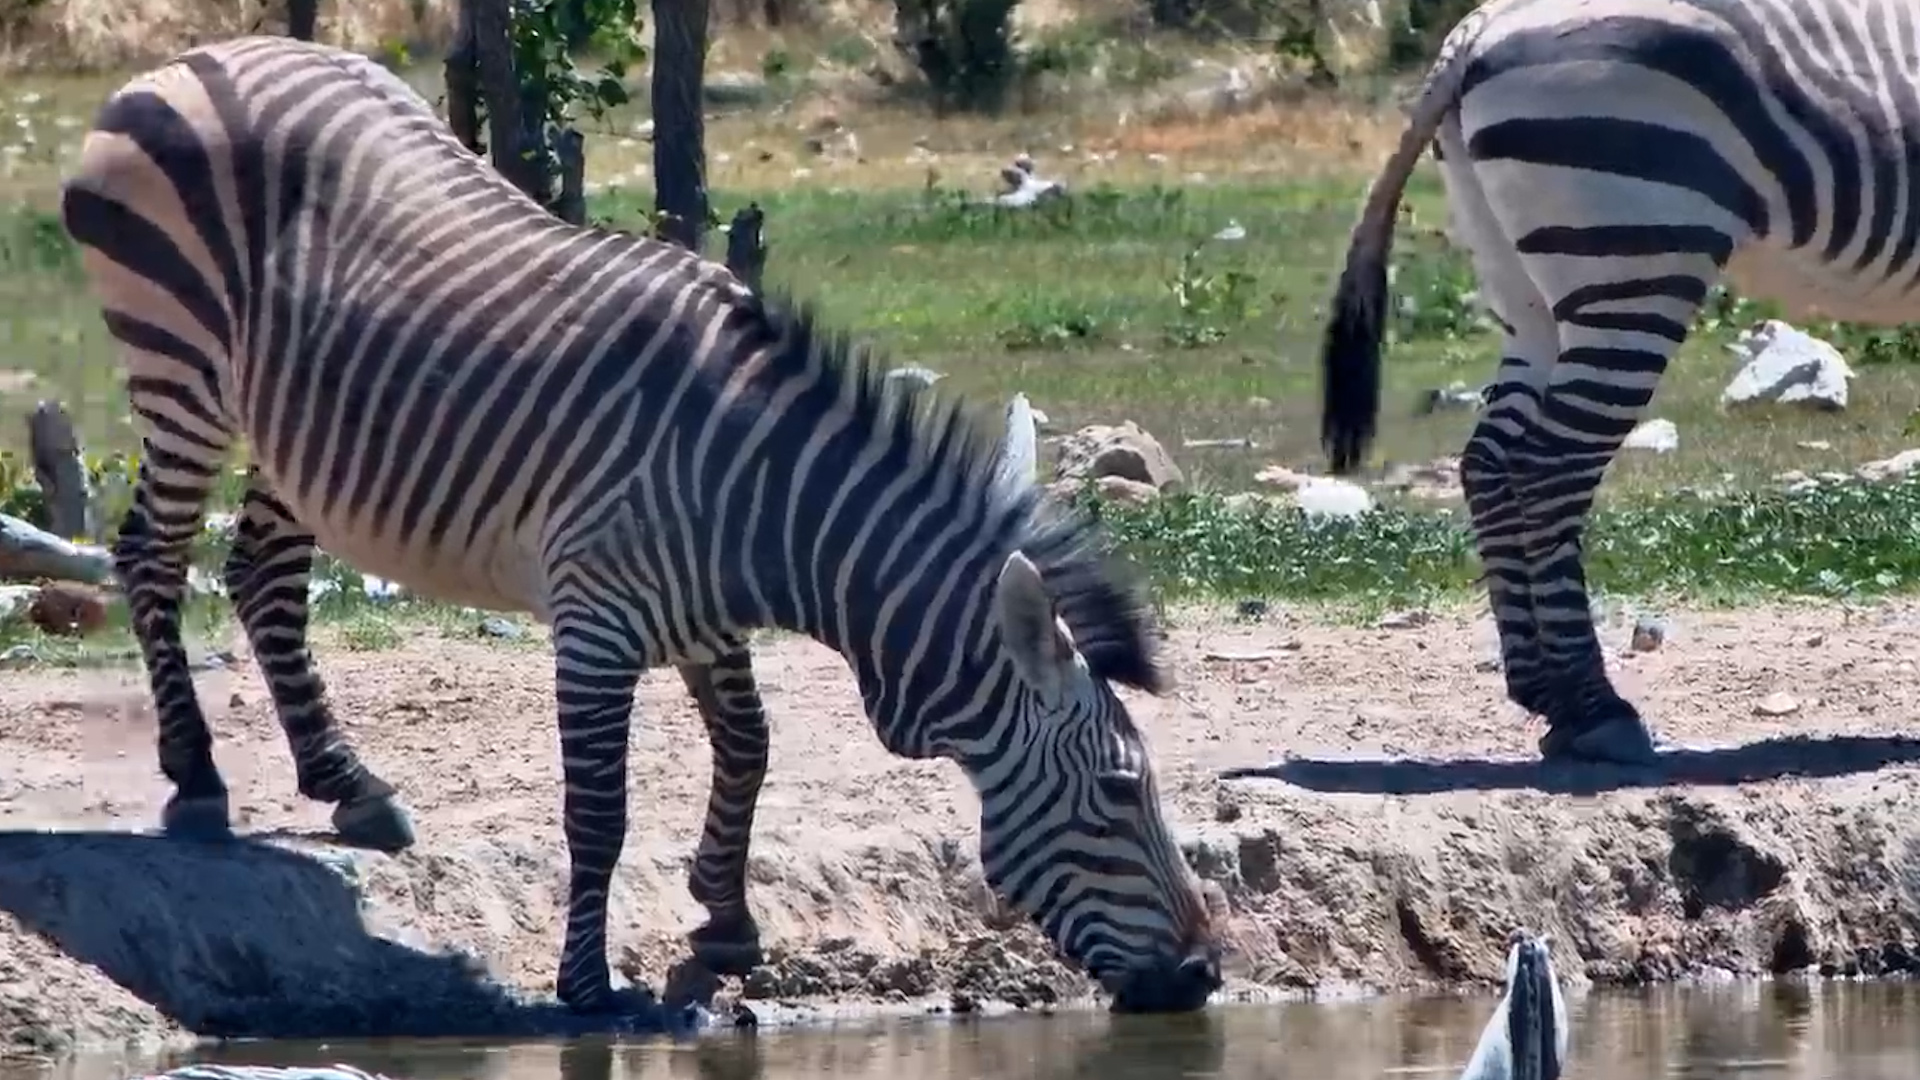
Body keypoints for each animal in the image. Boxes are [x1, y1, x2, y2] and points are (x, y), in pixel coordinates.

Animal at [60, 34, 1224, 1016]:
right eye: (1122, 793)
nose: (1204, 977)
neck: (761, 503)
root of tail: (202, 53)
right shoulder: (597, 621)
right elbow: (600, 808)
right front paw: (590, 987)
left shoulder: (705, 623)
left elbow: (750, 750)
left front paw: (725, 925)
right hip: (179, 366)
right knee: (152, 556)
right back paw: (198, 780)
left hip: (289, 421)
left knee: (261, 573)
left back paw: (350, 786)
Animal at [1319, 0, 1920, 766]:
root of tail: (1477, 28)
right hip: (1634, 250)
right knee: (1547, 468)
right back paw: (1594, 708)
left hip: (1526, 288)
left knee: (1491, 463)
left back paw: (1545, 695)